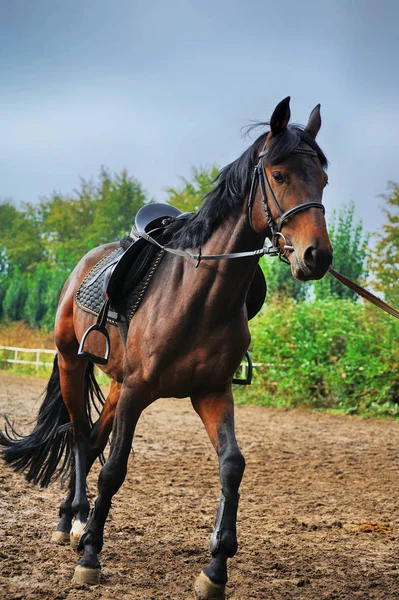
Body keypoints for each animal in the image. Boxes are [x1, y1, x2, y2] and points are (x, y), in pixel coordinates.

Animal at [0, 96, 332, 596]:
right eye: (278, 175)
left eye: (324, 180)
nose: (318, 256)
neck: (198, 295)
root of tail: (85, 263)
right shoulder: (139, 391)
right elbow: (115, 469)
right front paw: (91, 556)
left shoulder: (211, 392)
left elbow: (231, 465)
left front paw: (215, 567)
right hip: (73, 364)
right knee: (78, 436)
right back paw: (71, 524)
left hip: (116, 385)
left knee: (92, 439)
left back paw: (77, 521)